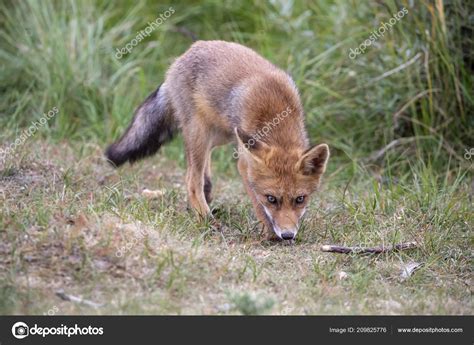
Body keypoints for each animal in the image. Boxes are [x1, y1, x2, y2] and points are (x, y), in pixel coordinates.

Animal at [106, 39, 330, 239]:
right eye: (271, 199)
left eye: (300, 199)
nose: (288, 235)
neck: (277, 117)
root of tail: (188, 51)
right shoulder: (244, 164)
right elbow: (258, 204)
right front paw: (269, 232)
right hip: (200, 133)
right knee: (191, 179)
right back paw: (206, 219)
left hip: (221, 134)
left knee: (201, 166)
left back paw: (206, 196)